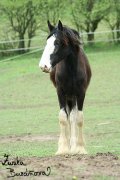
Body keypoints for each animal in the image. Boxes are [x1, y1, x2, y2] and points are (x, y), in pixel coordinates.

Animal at [39, 20, 91, 155]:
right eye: (47, 41)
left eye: (57, 42)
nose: (43, 66)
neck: (72, 69)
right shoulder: (60, 93)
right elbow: (63, 118)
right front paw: (62, 148)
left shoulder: (81, 93)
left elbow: (79, 118)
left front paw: (80, 148)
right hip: (68, 97)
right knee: (68, 117)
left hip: (73, 97)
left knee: (72, 117)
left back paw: (73, 146)